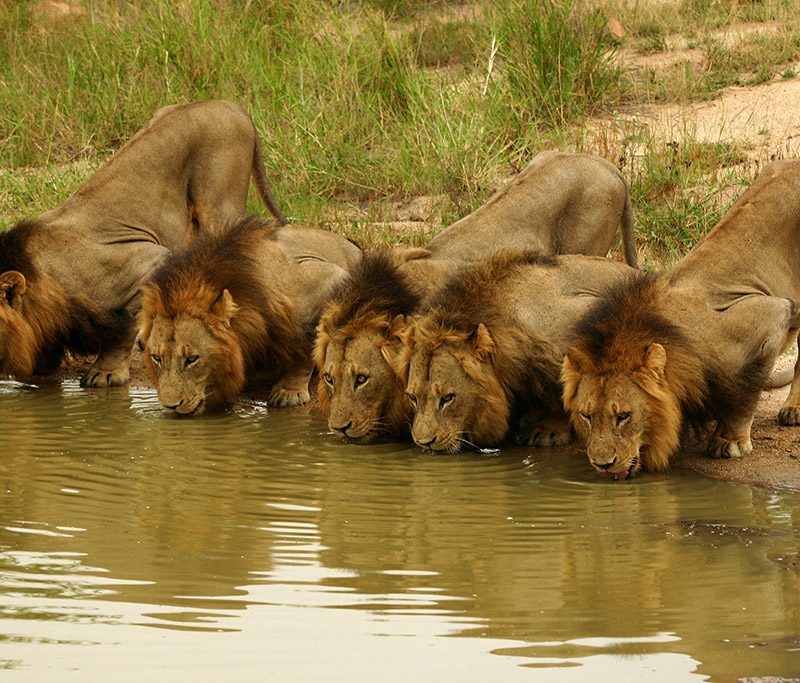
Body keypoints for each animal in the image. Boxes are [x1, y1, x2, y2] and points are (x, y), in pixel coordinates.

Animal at [138, 215, 361, 415]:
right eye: (157, 358)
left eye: (192, 359)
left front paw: (289, 392)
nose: (171, 407)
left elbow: (305, 344)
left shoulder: (330, 278)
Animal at [398, 250, 636, 452]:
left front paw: (548, 431)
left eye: (447, 398)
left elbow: (564, 390)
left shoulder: (584, 313)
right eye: (413, 397)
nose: (424, 442)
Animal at [561, 159, 800, 478]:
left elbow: (745, 395)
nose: (602, 464)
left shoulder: (772, 315)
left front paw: (729, 441)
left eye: (624, 416)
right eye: (587, 416)